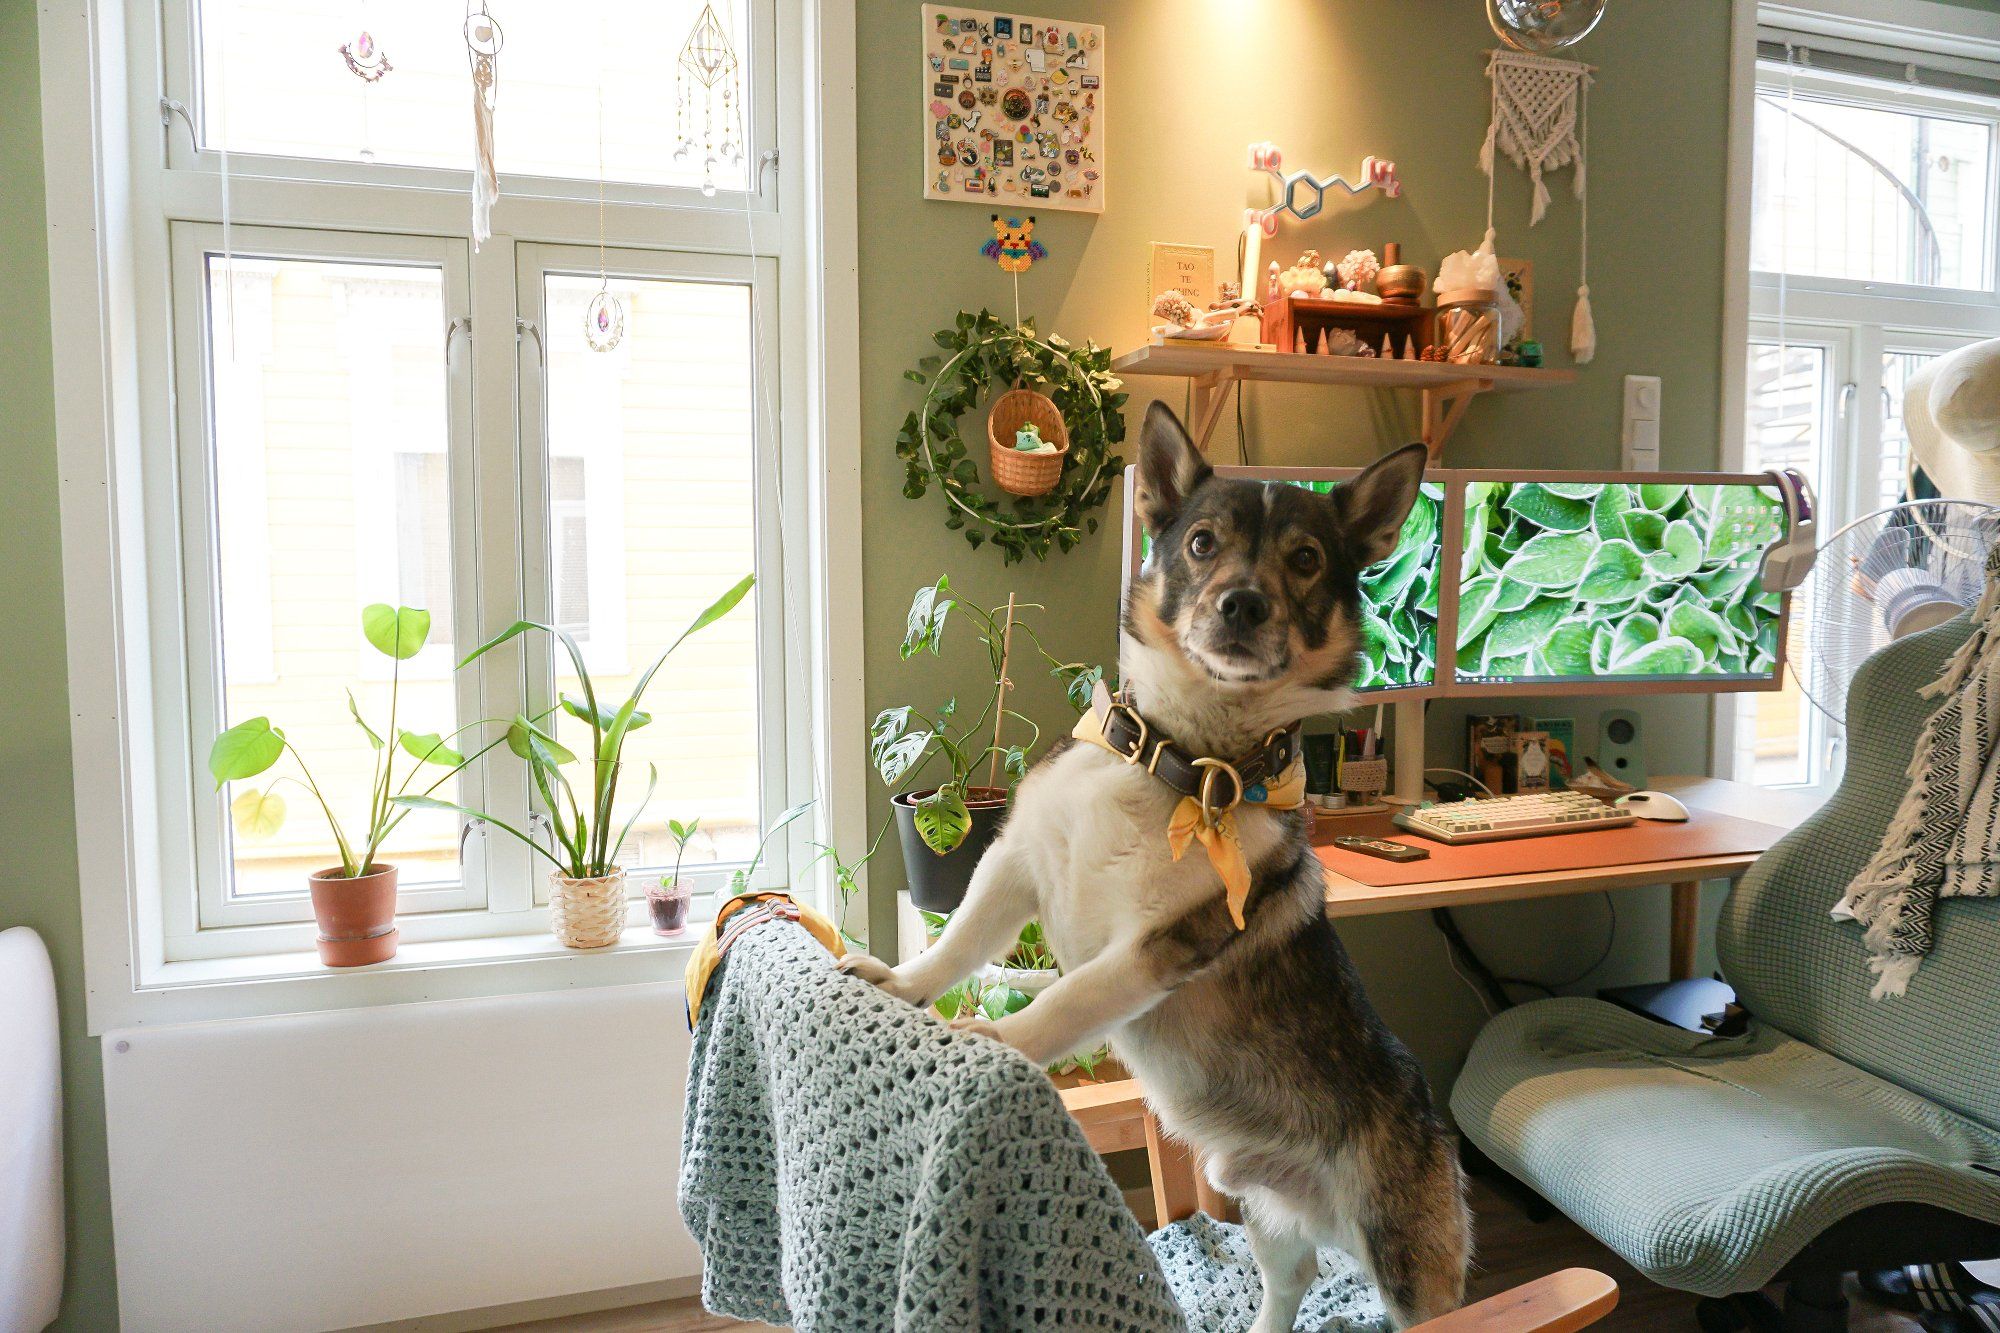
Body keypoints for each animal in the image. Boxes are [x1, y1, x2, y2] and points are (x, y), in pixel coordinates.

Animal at [840, 400, 1472, 1320]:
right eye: (1203, 543)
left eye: (1306, 559)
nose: (1243, 604)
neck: (1181, 761)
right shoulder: (1014, 866)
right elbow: (958, 943)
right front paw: (905, 984)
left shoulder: (1155, 948)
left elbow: (1060, 1003)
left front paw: (997, 1038)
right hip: (1268, 1218)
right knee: (1291, 1283)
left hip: (1410, 1274)